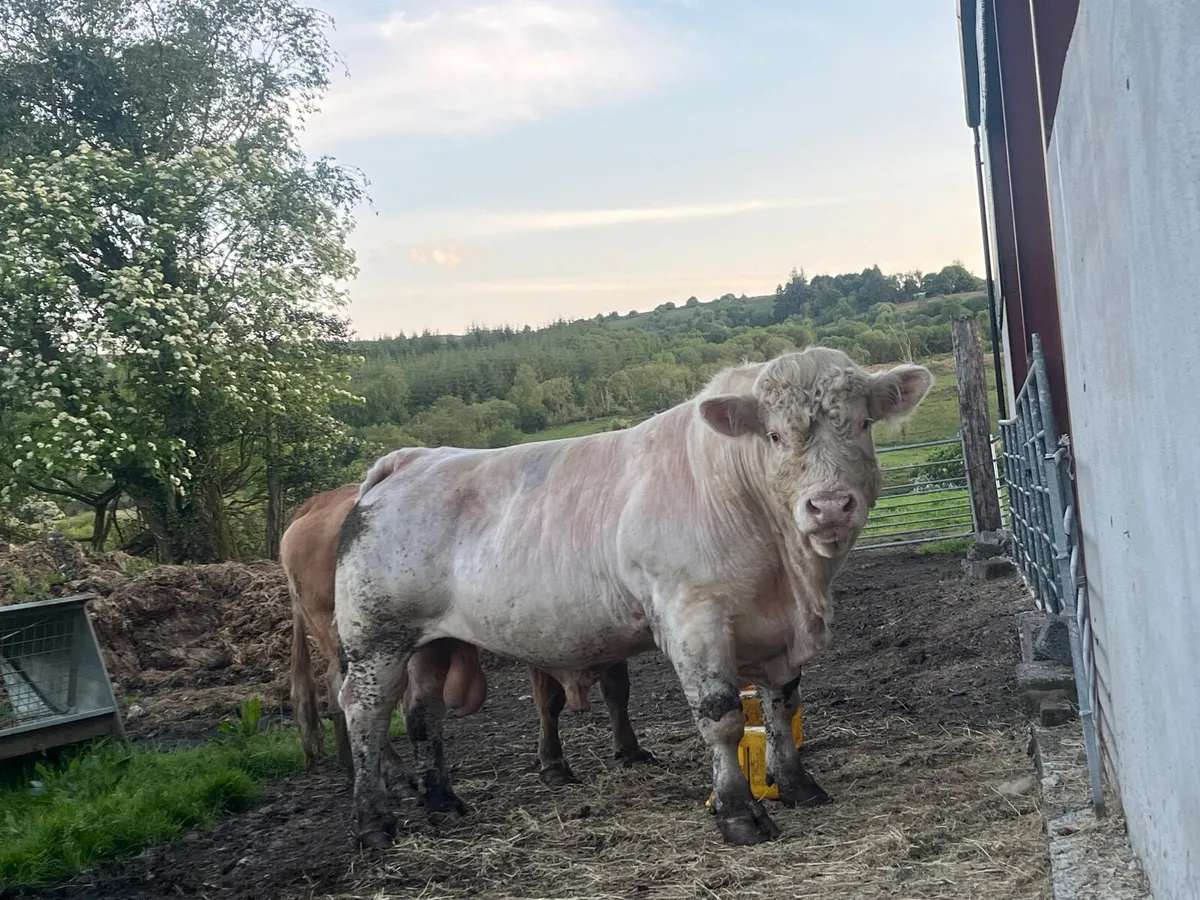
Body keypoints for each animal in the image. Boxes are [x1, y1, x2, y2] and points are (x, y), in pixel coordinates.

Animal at [281, 484, 652, 789]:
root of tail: (318, 502)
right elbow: (549, 700)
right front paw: (554, 764)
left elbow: (617, 690)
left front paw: (630, 750)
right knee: (355, 696)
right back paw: (394, 771)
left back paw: (353, 769)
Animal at [334, 348, 933, 848]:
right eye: (775, 435)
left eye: (863, 423)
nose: (829, 506)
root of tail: (412, 459)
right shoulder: (693, 617)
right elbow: (722, 718)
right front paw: (738, 813)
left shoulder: (777, 631)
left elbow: (782, 706)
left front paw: (797, 785)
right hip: (375, 640)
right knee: (365, 712)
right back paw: (373, 822)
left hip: (428, 641)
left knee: (423, 713)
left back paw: (441, 799)